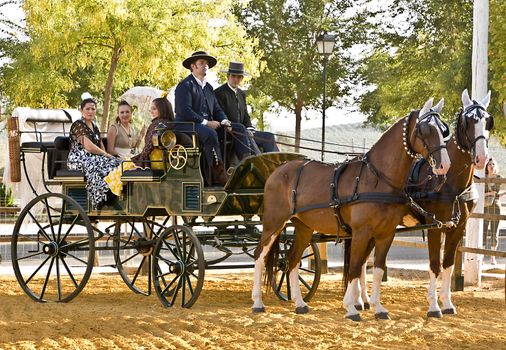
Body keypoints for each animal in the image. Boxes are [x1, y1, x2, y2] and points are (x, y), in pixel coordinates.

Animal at [253, 98, 450, 320]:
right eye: (426, 129)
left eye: (444, 130)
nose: (444, 165)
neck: (378, 179)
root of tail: (278, 170)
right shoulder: (361, 232)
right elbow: (355, 267)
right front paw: (351, 307)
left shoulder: (386, 234)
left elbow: (378, 269)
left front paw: (378, 308)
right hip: (273, 223)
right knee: (260, 256)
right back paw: (258, 303)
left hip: (304, 227)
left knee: (292, 260)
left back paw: (300, 303)